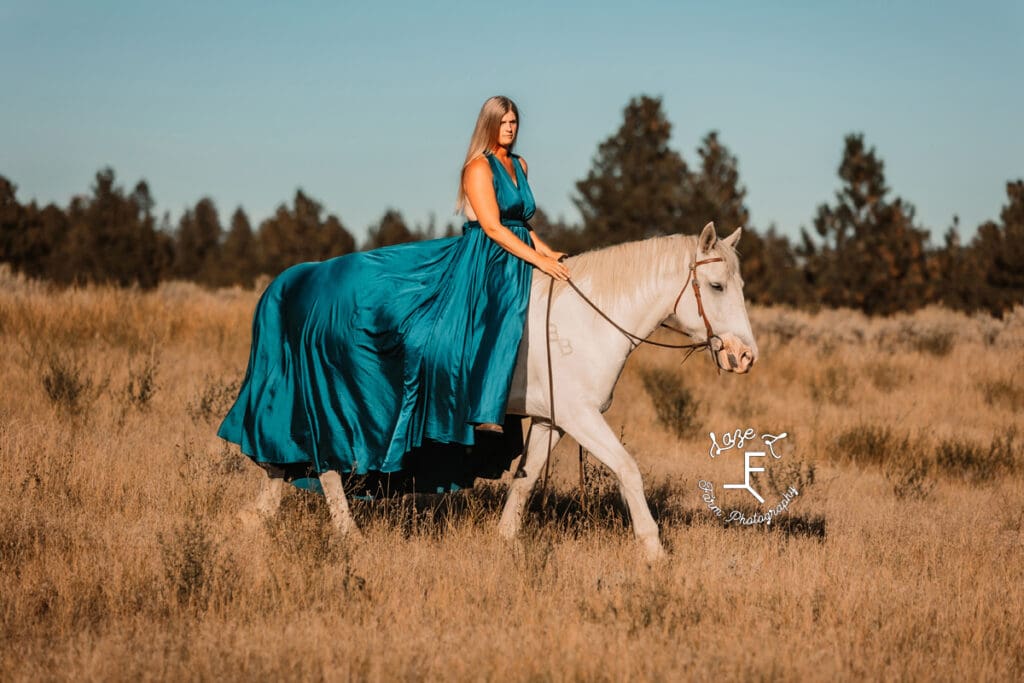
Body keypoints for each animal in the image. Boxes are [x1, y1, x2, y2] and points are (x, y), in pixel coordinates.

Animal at [243, 224, 757, 561]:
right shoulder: (582, 417)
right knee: (325, 464)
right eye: (715, 286)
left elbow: (525, 480)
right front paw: (653, 549)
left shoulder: (552, 420)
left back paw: (258, 520)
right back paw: (348, 535)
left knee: (283, 464)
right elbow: (628, 469)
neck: (588, 318)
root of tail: (295, 282)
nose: (744, 357)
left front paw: (504, 540)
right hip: (335, 400)